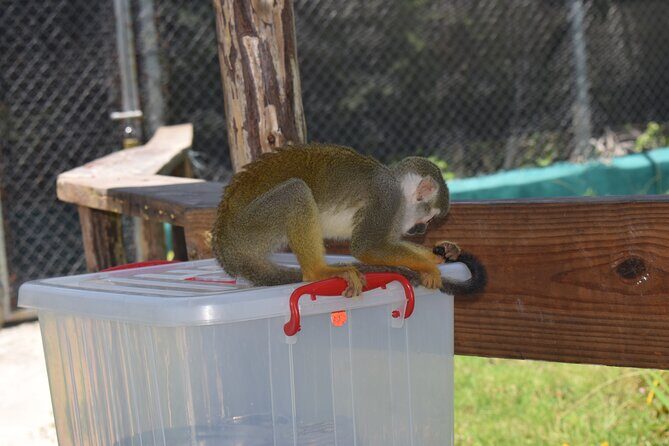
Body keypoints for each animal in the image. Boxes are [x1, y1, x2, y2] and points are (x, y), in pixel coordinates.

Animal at [212, 143, 486, 297]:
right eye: (429, 219)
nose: (420, 230)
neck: (397, 185)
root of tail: (225, 249)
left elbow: (385, 244)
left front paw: (439, 254)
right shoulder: (387, 197)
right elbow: (367, 247)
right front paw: (428, 266)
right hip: (248, 226)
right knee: (295, 191)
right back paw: (318, 271)